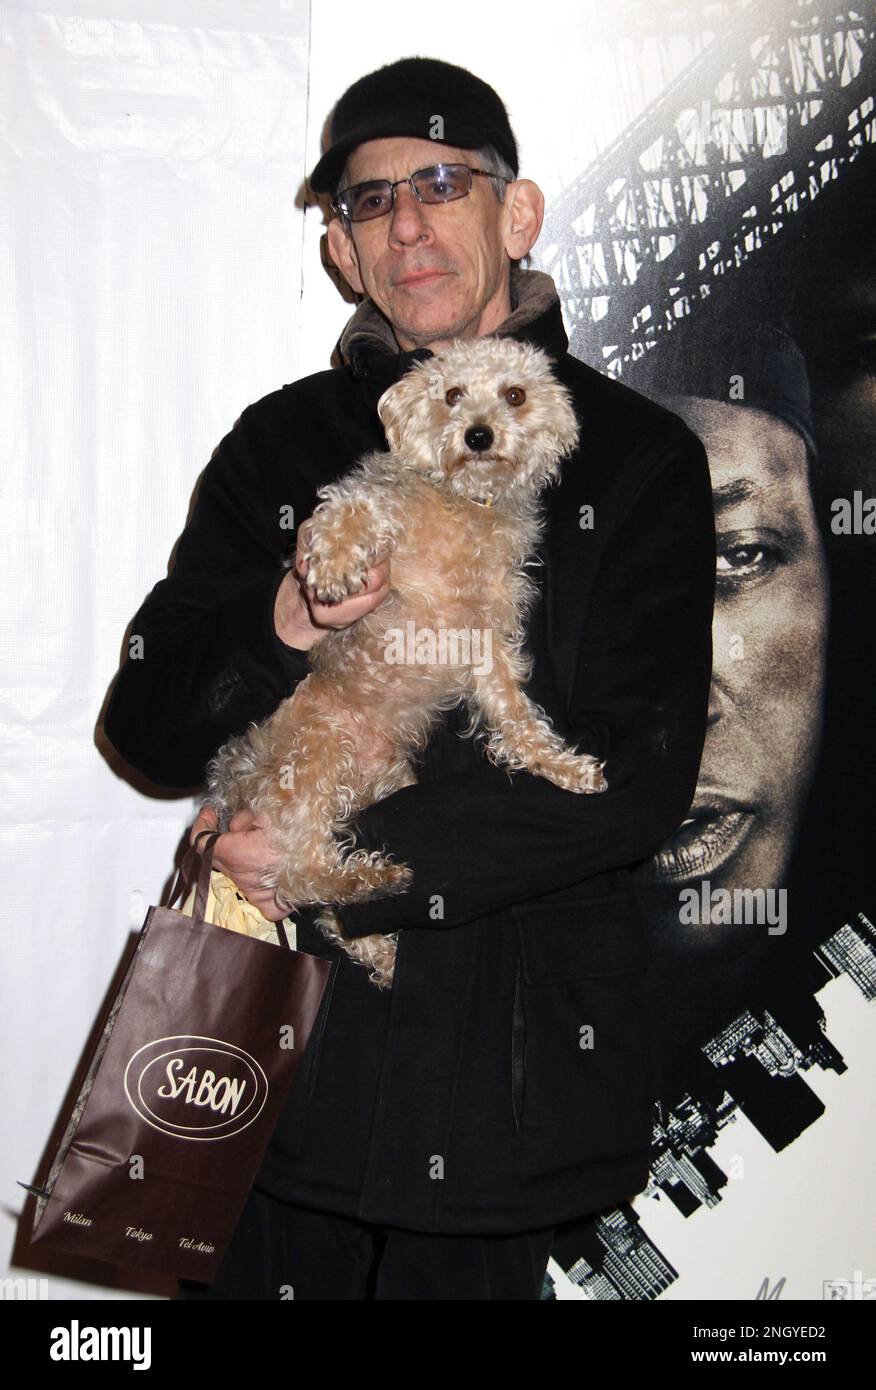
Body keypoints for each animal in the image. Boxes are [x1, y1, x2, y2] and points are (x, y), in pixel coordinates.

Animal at [208, 334, 606, 989]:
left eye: (515, 395)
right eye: (452, 394)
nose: (477, 435)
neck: (466, 505)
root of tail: (228, 788)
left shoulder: (485, 642)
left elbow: (516, 716)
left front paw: (558, 766)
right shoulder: (377, 504)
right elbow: (350, 513)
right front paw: (334, 568)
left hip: (382, 780)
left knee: (323, 903)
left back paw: (382, 940)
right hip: (317, 751)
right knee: (297, 869)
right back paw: (374, 876)